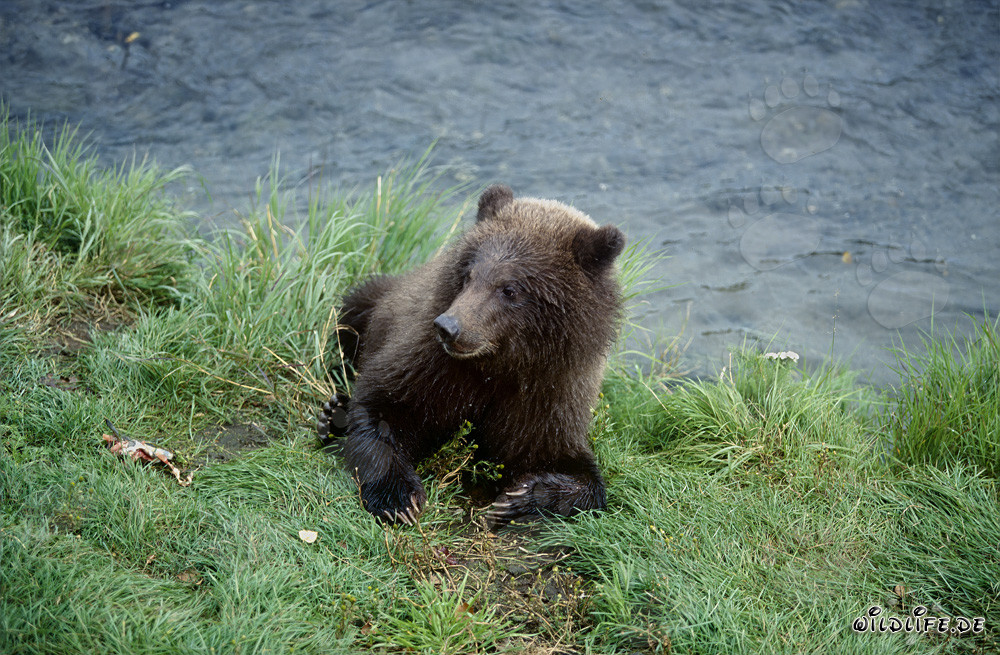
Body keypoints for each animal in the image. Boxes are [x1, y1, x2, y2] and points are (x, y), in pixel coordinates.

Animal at [317, 184, 625, 525]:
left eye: (510, 289)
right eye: (469, 275)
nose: (448, 327)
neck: (500, 363)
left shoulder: (550, 394)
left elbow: (574, 470)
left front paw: (521, 498)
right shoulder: (429, 364)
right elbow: (383, 409)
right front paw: (399, 499)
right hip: (373, 302)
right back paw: (331, 415)